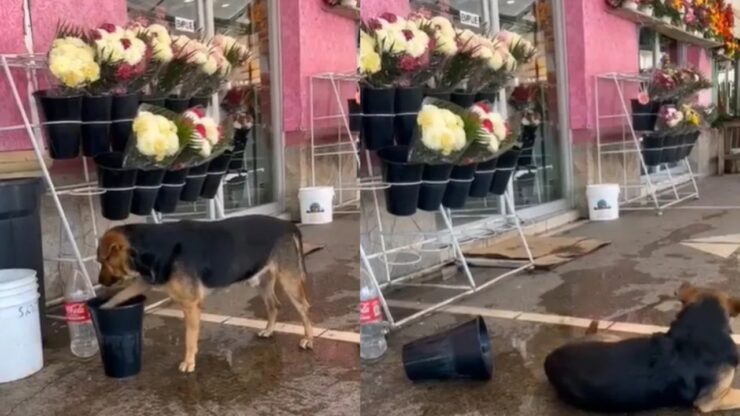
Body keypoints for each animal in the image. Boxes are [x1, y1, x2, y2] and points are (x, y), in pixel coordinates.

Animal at [94, 216, 312, 372]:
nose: (100, 282)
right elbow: (120, 296)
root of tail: (287, 225)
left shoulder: (190, 305)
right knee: (274, 305)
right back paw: (269, 330)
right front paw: (103, 307)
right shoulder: (145, 281)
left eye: (103, 261)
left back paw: (308, 339)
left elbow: (189, 338)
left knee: (304, 308)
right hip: (262, 280)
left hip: (289, 281)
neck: (149, 248)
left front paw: (189, 362)